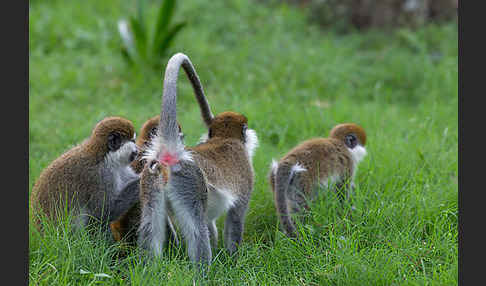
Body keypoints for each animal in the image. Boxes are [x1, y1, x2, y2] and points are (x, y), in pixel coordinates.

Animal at [140, 52, 258, 264]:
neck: (225, 138)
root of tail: (171, 154)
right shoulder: (246, 179)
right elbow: (235, 219)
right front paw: (233, 260)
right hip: (189, 181)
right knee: (197, 229)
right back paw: (203, 269)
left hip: (151, 181)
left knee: (150, 226)